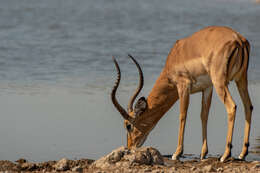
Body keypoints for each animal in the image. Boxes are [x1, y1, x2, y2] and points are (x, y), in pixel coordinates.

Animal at [110, 26, 253, 162]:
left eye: (128, 125)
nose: (130, 147)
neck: (175, 56)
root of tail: (238, 39)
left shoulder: (183, 86)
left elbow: (182, 116)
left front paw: (177, 153)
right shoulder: (207, 88)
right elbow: (204, 115)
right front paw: (203, 153)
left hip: (220, 82)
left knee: (232, 106)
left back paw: (225, 155)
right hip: (241, 79)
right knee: (248, 106)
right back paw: (242, 154)